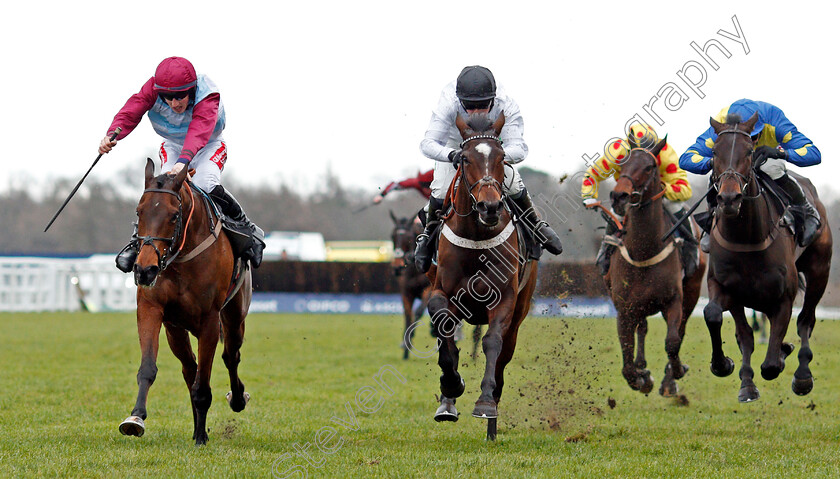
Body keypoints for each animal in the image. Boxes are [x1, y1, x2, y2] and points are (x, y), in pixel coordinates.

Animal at [118, 160, 251, 446]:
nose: (144, 270)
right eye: (139, 212)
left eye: (173, 216)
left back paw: (235, 400)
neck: (182, 258)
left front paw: (201, 437)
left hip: (235, 316)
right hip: (176, 330)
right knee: (191, 369)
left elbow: (205, 381)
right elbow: (148, 368)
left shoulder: (210, 320)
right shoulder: (151, 309)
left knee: (230, 356)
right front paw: (135, 418)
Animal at [390, 213, 434, 360]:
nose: (397, 267)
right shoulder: (406, 292)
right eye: (392, 236)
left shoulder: (429, 290)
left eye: (408, 238)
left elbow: (419, 311)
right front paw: (405, 346)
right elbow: (408, 315)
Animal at [424, 113, 536, 442]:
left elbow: (492, 342)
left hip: (521, 310)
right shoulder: (442, 292)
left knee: (503, 356)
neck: (476, 237)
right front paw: (451, 388)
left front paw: (486, 402)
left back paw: (492, 419)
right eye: (464, 158)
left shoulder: (505, 298)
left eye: (501, 157)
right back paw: (448, 401)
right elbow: (444, 332)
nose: (490, 206)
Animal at [600, 139, 704, 398]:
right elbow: (626, 362)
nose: (620, 196)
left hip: (692, 291)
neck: (643, 251)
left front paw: (674, 373)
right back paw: (642, 367)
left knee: (679, 331)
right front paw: (641, 377)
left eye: (649, 167)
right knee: (643, 328)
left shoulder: (674, 300)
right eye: (622, 163)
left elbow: (673, 342)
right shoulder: (624, 307)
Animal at [704, 114, 832, 404]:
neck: (747, 238)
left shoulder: (783, 297)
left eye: (750, 152)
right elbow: (723, 321)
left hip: (820, 270)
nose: (729, 198)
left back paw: (802, 376)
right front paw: (732, 372)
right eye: (714, 152)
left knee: (806, 320)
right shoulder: (726, 287)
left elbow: (772, 364)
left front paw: (782, 357)